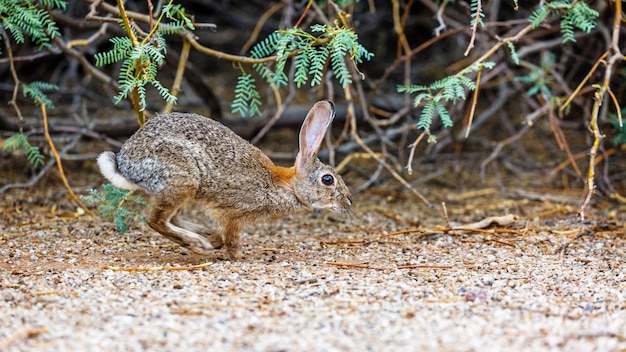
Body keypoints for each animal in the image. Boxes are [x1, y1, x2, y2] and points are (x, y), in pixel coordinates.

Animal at [97, 99, 352, 258]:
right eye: (327, 180)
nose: (348, 202)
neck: (287, 186)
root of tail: (125, 164)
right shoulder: (234, 214)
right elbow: (232, 237)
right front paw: (240, 256)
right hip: (182, 177)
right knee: (156, 221)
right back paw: (198, 243)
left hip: (184, 188)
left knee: (173, 217)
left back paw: (207, 236)